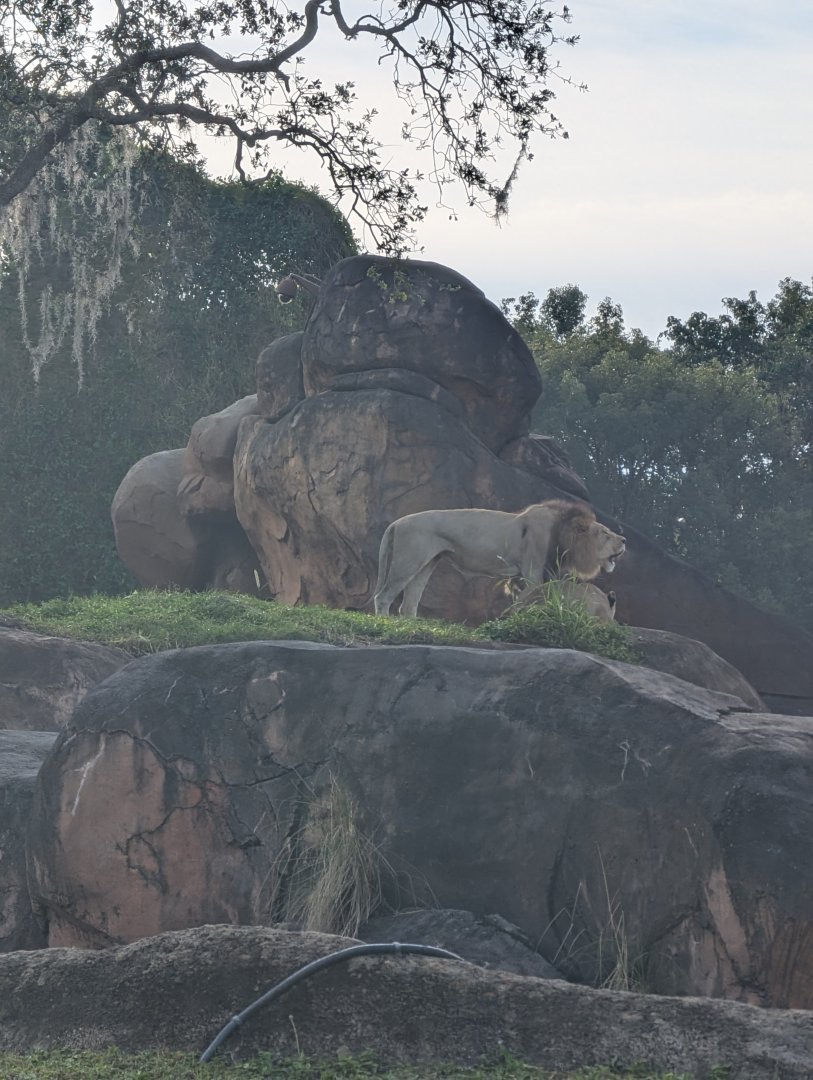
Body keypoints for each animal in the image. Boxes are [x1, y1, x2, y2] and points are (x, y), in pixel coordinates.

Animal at [373, 499, 625, 617]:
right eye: (605, 533)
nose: (624, 540)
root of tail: (396, 523)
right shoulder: (532, 570)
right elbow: (534, 596)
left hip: (426, 563)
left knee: (408, 603)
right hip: (407, 561)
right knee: (383, 596)